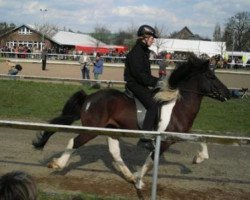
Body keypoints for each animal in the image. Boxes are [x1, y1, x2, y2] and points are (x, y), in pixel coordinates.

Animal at [32, 54, 229, 189]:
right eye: (211, 77)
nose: (228, 93)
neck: (178, 106)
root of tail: (89, 98)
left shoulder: (178, 135)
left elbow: (202, 138)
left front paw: (198, 158)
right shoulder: (166, 140)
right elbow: (150, 161)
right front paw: (139, 181)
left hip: (111, 130)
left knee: (115, 153)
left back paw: (128, 176)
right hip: (92, 129)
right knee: (74, 142)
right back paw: (58, 164)